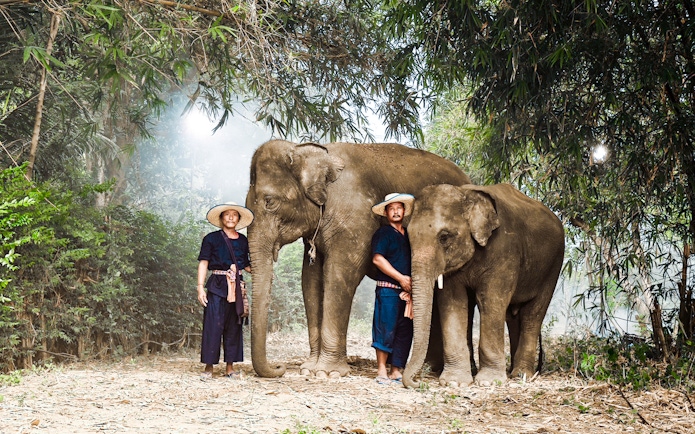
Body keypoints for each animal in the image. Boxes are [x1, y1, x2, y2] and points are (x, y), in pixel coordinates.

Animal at [245, 139, 471, 378]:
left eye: (270, 202)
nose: (279, 368)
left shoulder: (355, 219)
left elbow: (340, 274)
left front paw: (327, 372)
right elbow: (310, 279)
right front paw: (309, 369)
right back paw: (429, 368)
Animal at [402, 183, 565, 388]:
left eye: (444, 237)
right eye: (408, 236)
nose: (418, 382)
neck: (465, 193)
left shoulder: (505, 252)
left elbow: (490, 301)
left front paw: (489, 382)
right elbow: (453, 302)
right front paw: (454, 382)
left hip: (553, 266)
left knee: (533, 314)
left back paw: (522, 375)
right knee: (513, 316)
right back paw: (513, 372)